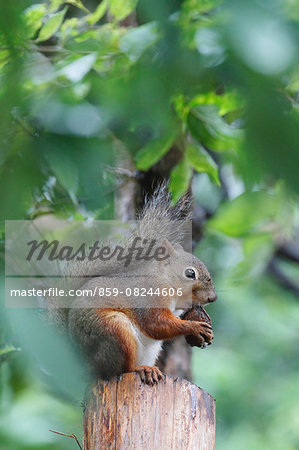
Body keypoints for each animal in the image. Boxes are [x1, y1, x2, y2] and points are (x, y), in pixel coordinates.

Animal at [47, 185, 218, 384]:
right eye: (190, 273)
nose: (213, 298)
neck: (165, 279)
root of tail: (84, 367)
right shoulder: (150, 296)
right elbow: (155, 324)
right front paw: (195, 326)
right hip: (114, 330)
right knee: (119, 369)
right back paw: (141, 369)